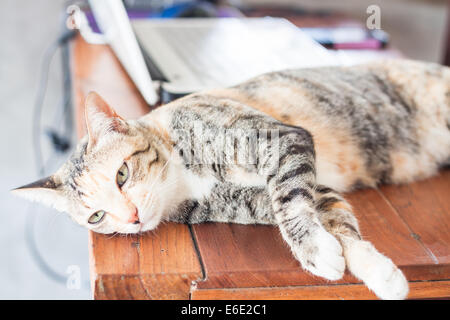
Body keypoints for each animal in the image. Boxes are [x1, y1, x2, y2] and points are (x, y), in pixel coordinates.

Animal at [13, 59, 450, 300]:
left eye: (121, 174)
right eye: (96, 217)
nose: (133, 218)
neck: (182, 177)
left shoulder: (285, 140)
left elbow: (292, 204)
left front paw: (316, 252)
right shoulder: (281, 195)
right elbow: (337, 226)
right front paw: (373, 271)